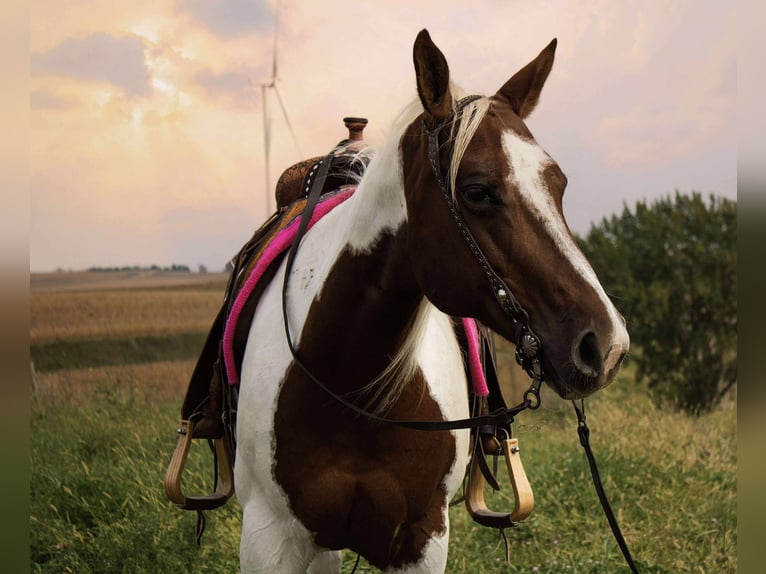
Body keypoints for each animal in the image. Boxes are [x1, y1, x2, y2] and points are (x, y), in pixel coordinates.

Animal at [234, 29, 629, 573]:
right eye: (478, 191)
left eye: (558, 184)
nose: (606, 344)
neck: (351, 383)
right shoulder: (269, 536)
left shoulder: (422, 538)